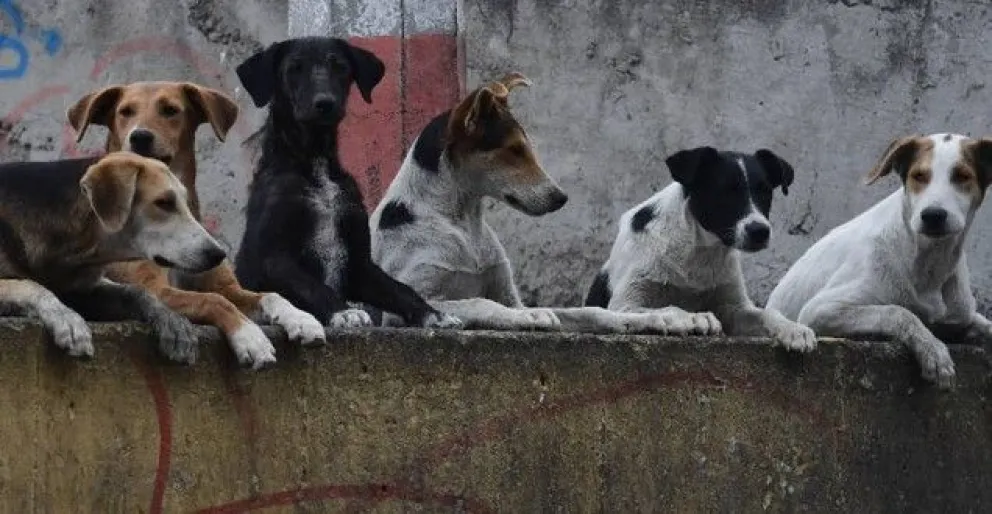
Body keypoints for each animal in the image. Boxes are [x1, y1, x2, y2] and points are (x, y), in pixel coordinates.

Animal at [70, 81, 326, 368]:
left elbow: (269, 295)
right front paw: (250, 337)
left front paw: (302, 319)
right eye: (125, 111)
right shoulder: (154, 289)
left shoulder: (228, 287)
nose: (139, 137)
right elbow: (212, 300)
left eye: (170, 110)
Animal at [234, 36, 464, 328]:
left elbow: (399, 289)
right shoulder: (273, 257)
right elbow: (311, 285)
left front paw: (433, 314)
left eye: (340, 67)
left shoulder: (358, 263)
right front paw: (342, 311)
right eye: (294, 69)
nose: (325, 103)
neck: (315, 161)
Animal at [370, 74, 704, 334]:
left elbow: (593, 312)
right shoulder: (409, 303)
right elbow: (480, 302)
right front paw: (528, 316)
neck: (462, 222)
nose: (561, 198)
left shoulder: (509, 295)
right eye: (514, 150)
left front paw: (662, 318)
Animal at [584, 145, 816, 348]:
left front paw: (793, 329)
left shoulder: (734, 309)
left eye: (765, 192)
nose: (760, 231)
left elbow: (767, 312)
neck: (698, 252)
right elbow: (667, 308)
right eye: (725, 191)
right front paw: (693, 318)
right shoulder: (624, 304)